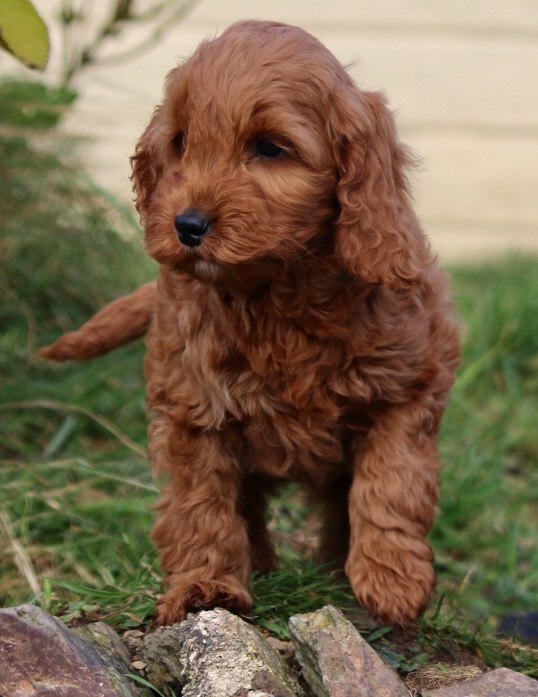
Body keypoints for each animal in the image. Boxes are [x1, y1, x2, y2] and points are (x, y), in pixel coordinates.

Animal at [43, 20, 460, 624]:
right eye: (181, 142)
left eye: (269, 148)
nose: (187, 224)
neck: (277, 296)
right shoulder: (193, 408)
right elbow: (202, 505)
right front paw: (206, 586)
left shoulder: (410, 385)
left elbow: (391, 481)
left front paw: (391, 578)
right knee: (244, 502)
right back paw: (258, 564)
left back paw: (337, 565)